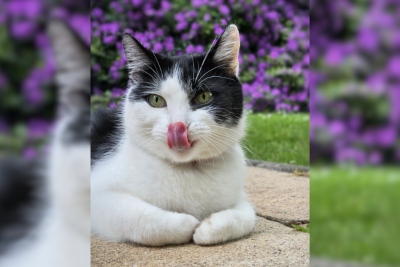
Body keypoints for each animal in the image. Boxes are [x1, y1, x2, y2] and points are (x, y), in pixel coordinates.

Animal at [91, 25, 256, 247]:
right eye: (156, 100)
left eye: (204, 96)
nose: (178, 127)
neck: (187, 169)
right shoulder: (99, 196)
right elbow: (140, 219)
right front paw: (187, 222)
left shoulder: (240, 198)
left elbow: (248, 217)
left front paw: (208, 228)